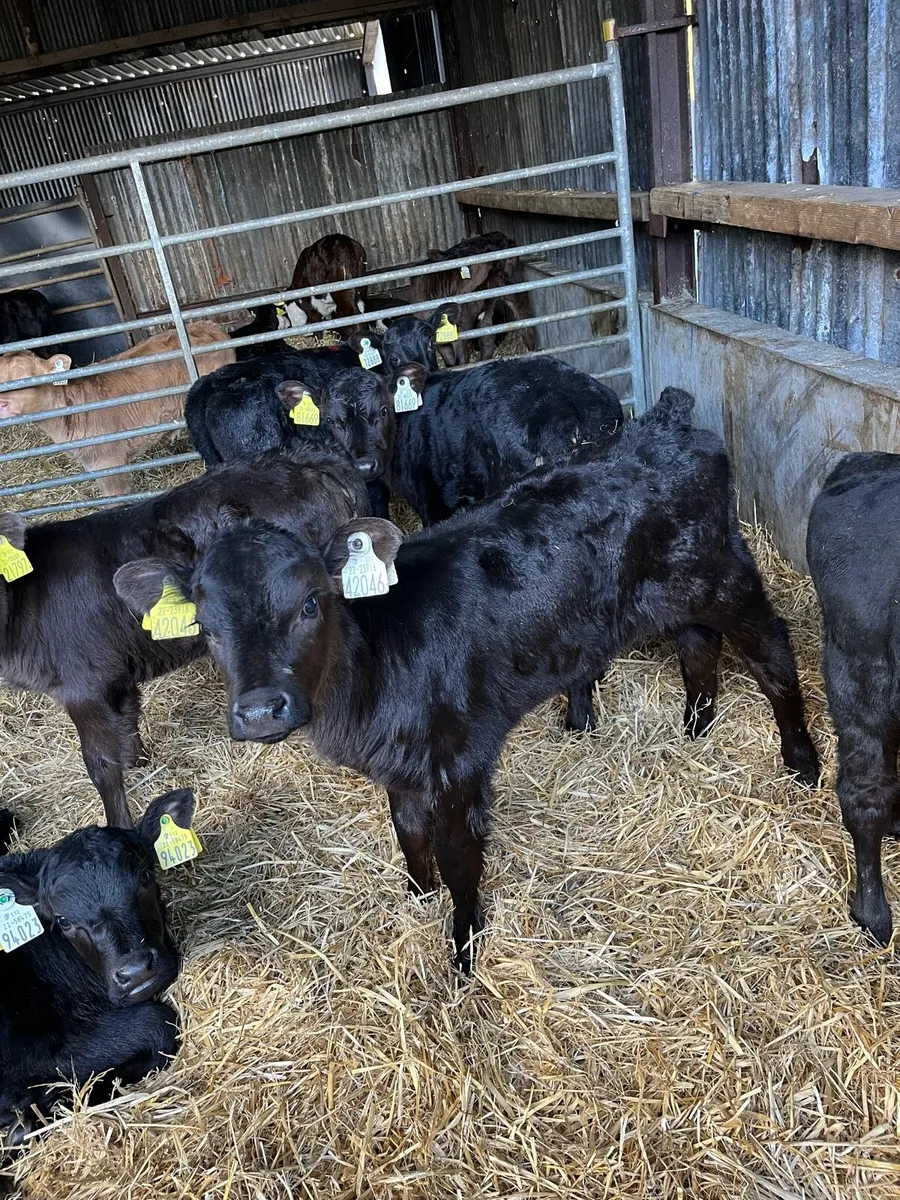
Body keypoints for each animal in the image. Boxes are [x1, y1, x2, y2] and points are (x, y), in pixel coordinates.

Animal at [0, 450, 369, 827]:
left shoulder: (83, 687)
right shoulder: (118, 675)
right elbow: (128, 723)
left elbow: (100, 765)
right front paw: (139, 762)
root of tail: (314, 464)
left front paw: (118, 824)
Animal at [119, 389, 820, 972]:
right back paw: (696, 728)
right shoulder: (399, 764)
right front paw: (417, 894)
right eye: (206, 625)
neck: (374, 667)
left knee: (772, 652)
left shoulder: (459, 758)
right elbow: (408, 832)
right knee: (697, 645)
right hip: (674, 596)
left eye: (311, 604)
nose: (262, 708)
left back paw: (802, 761)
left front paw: (463, 946)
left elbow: (460, 855)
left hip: (722, 573)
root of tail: (665, 423)